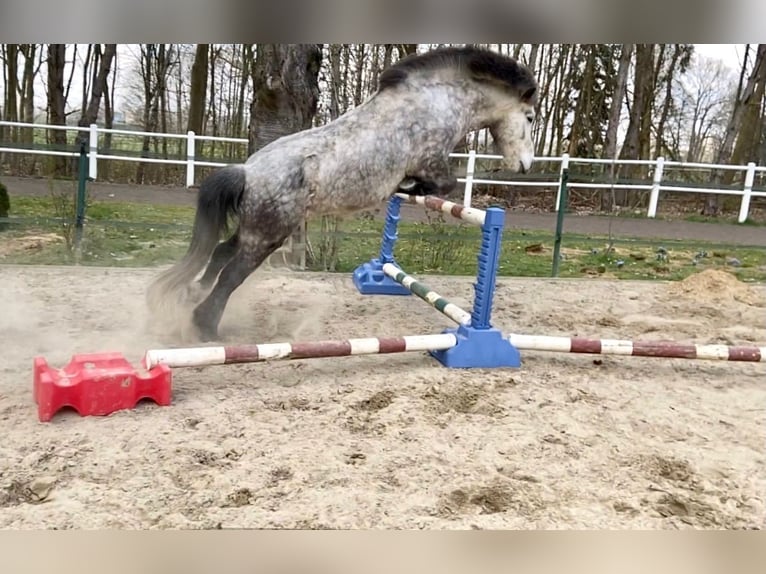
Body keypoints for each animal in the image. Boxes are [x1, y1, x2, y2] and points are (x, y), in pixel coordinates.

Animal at [146, 45, 539, 342]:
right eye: (531, 118)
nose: (525, 165)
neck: (437, 101)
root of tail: (248, 172)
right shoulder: (432, 162)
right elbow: (445, 185)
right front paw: (409, 186)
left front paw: (407, 187)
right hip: (267, 235)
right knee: (230, 273)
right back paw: (205, 328)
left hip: (256, 229)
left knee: (220, 252)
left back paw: (193, 296)